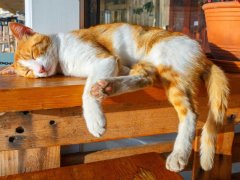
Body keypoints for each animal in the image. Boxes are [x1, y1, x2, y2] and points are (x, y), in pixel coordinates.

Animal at [0, 22, 229, 172]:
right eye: (28, 72)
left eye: (33, 53)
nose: (39, 70)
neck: (61, 59)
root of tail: (202, 54)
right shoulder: (114, 63)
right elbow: (111, 73)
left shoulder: (104, 59)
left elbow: (87, 91)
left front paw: (94, 120)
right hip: (147, 66)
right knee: (145, 78)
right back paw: (109, 86)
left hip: (169, 67)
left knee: (190, 113)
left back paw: (179, 154)